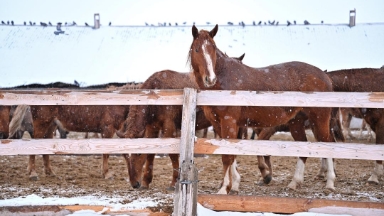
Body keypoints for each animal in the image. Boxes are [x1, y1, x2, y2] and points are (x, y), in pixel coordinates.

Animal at [189, 24, 340, 194]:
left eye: (213, 48)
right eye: (197, 49)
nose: (210, 78)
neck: (224, 80)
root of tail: (325, 76)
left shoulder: (230, 122)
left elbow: (228, 156)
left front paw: (224, 189)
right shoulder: (217, 124)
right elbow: (230, 153)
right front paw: (233, 184)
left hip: (319, 119)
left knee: (328, 144)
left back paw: (330, 182)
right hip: (297, 121)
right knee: (303, 147)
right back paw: (295, 182)